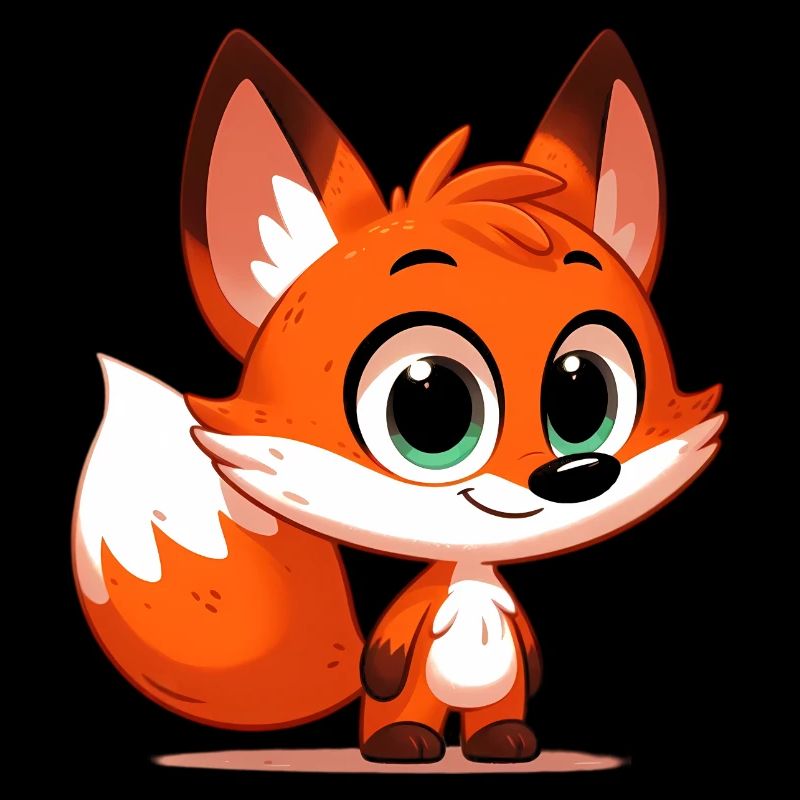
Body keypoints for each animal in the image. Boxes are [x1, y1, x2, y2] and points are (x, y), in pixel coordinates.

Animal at [73, 29, 724, 763]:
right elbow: (390, 651)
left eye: (583, 391)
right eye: (432, 405)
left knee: (495, 714)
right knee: (403, 714)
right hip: (412, 702)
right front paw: (385, 683)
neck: (468, 572)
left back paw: (503, 741)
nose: (578, 473)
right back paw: (404, 742)